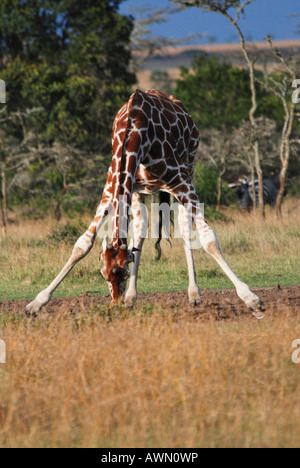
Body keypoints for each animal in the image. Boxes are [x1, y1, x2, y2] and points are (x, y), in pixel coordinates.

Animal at [25, 88, 264, 318]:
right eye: (103, 274)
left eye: (124, 273)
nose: (115, 304)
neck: (134, 133)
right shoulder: (113, 186)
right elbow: (82, 244)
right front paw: (35, 304)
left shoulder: (182, 182)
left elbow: (209, 239)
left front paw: (251, 298)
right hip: (139, 192)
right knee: (141, 230)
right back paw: (132, 298)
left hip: (188, 171)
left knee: (185, 227)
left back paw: (194, 294)